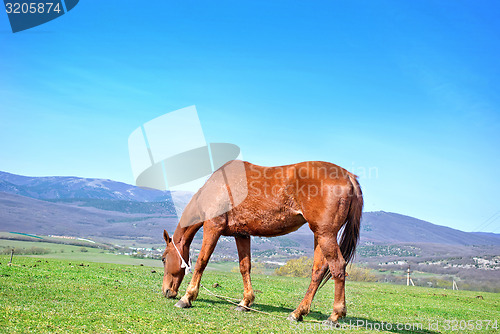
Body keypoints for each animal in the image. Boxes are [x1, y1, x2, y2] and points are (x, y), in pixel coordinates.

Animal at [162, 161, 362, 324]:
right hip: (320, 235)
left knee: (337, 267)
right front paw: (245, 302)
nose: (166, 291)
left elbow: (201, 262)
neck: (217, 187)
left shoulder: (213, 228)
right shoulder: (242, 235)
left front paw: (187, 297)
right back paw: (297, 312)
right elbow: (245, 267)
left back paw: (334, 316)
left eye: (163, 259)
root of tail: (348, 176)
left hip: (325, 235)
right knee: (318, 271)